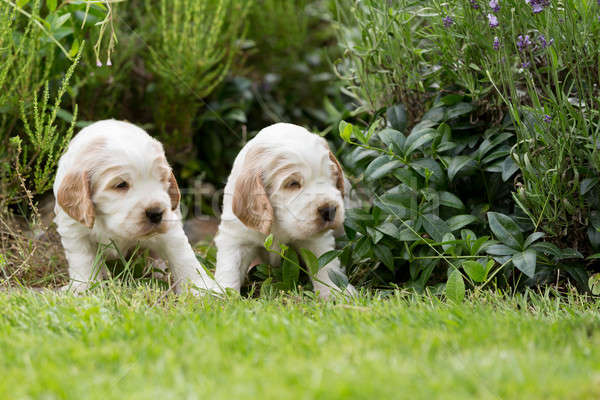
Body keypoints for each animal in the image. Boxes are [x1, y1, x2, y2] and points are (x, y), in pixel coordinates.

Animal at [52, 119, 214, 294]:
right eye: (121, 184)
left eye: (162, 179)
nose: (156, 213)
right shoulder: (75, 231)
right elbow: (84, 263)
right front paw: (85, 288)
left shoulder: (171, 227)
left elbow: (182, 256)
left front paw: (200, 289)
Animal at [214, 123, 356, 298]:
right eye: (293, 183)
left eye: (330, 176)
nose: (329, 209)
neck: (278, 222)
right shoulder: (236, 237)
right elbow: (229, 267)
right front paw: (222, 296)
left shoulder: (316, 239)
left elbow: (325, 262)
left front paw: (334, 292)